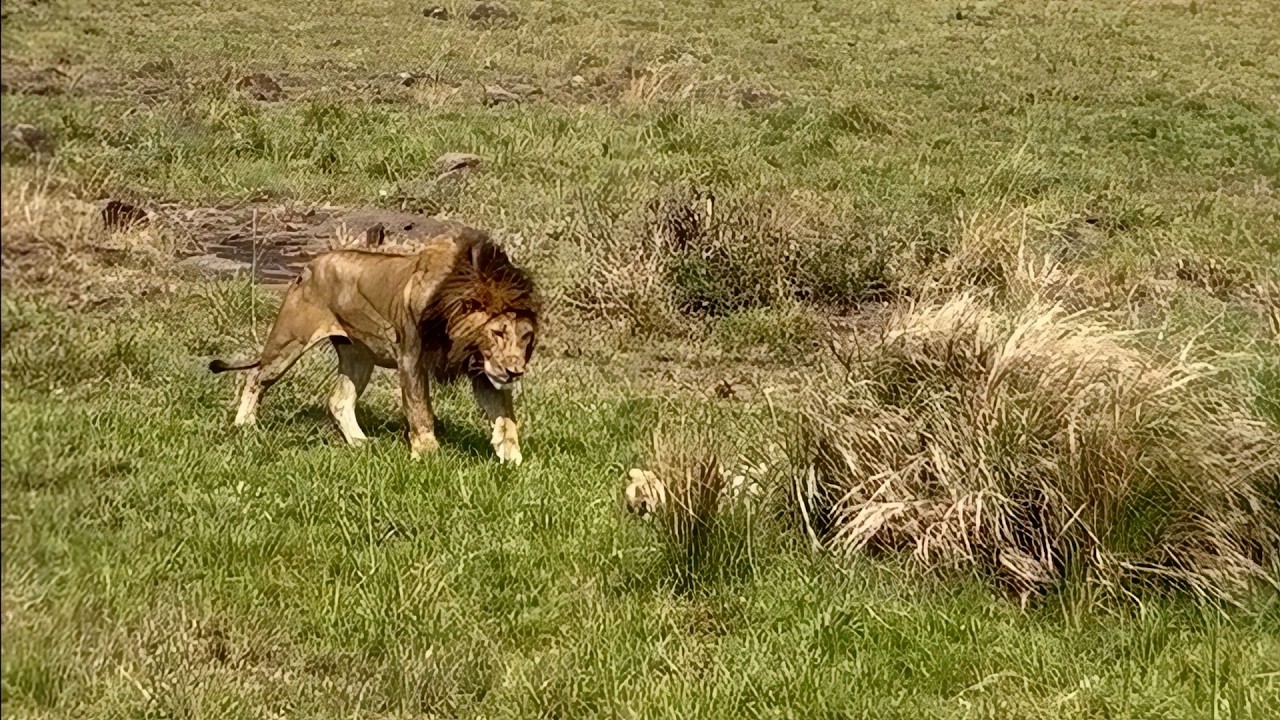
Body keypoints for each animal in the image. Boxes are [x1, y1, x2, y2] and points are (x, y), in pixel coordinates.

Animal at [208, 230, 539, 463]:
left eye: (526, 337)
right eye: (497, 332)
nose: (515, 372)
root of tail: (310, 265)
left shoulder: (485, 373)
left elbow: (506, 419)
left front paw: (513, 461)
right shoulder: (411, 358)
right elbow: (420, 410)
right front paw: (427, 455)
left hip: (359, 355)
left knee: (338, 400)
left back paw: (361, 443)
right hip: (289, 341)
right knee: (255, 377)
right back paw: (244, 425)